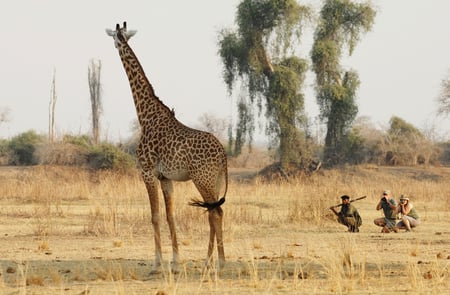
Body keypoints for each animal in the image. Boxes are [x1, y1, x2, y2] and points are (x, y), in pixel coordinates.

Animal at [106, 22, 229, 272]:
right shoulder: (166, 178)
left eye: (115, 37)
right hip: (215, 181)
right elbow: (170, 216)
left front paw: (156, 263)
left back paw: (218, 262)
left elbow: (154, 215)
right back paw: (209, 261)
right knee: (214, 212)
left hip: (203, 179)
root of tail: (223, 155)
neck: (146, 115)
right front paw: (175, 262)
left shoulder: (147, 171)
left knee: (215, 212)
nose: (114, 44)